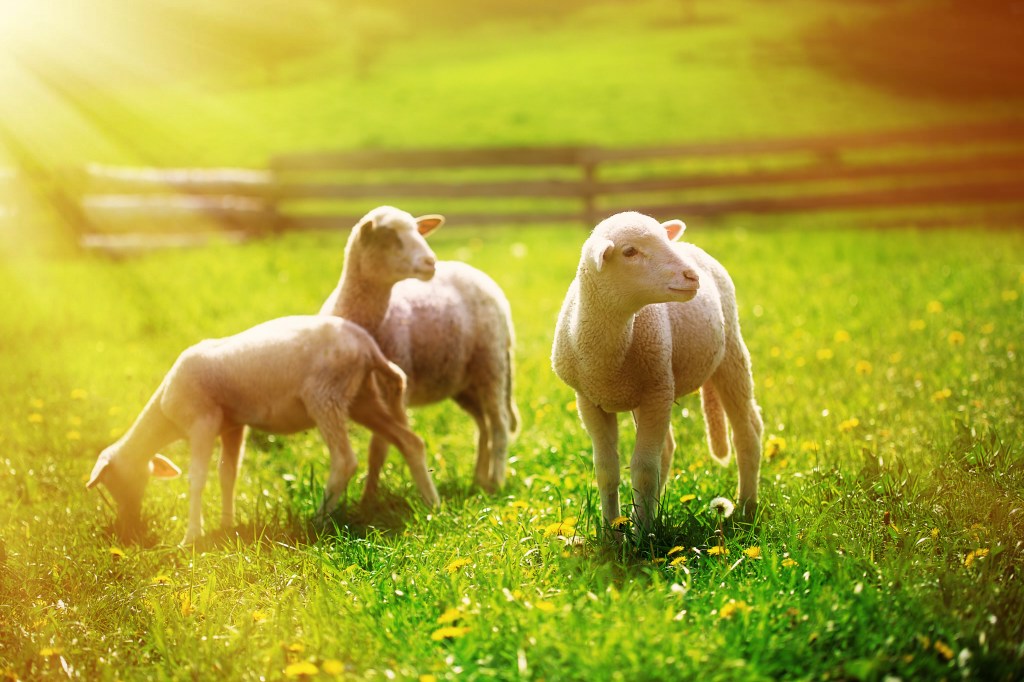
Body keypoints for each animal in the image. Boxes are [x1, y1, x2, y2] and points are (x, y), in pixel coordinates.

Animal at [86, 315, 440, 544]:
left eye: (112, 482)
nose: (128, 520)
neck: (164, 414)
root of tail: (368, 346)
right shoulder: (232, 426)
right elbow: (227, 474)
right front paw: (226, 525)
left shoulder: (202, 422)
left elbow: (197, 478)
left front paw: (191, 536)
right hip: (362, 398)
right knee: (411, 442)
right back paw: (432, 504)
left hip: (325, 395)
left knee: (345, 460)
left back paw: (319, 518)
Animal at [320, 205, 519, 495]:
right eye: (389, 237)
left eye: (418, 232)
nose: (430, 262)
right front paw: (369, 495)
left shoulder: (394, 392)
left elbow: (378, 448)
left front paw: (369, 498)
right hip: (462, 382)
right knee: (482, 425)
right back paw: (479, 480)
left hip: (491, 365)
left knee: (499, 424)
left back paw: (496, 482)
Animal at [551, 211, 763, 532]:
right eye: (629, 252)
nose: (692, 277)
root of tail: (692, 246)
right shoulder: (589, 401)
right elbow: (606, 470)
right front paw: (613, 531)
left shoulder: (658, 392)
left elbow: (643, 469)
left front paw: (641, 536)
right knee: (668, 449)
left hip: (730, 355)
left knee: (747, 434)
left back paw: (745, 508)